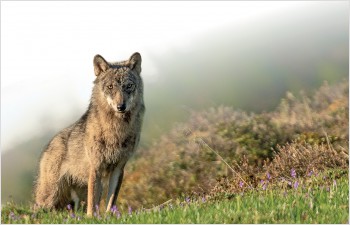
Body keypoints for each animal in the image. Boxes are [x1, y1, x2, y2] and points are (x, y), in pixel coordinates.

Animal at [33, 52, 145, 216]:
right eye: (110, 87)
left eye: (128, 86)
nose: (121, 107)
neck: (116, 130)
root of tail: (48, 146)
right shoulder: (96, 167)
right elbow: (93, 204)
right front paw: (92, 218)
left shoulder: (119, 168)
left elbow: (111, 201)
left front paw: (109, 216)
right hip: (50, 196)